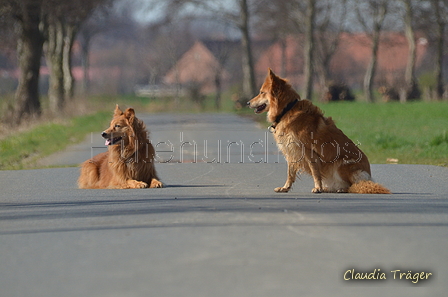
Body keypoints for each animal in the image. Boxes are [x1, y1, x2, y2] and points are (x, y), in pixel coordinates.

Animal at [247, 69, 390, 194]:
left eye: (261, 92)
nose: (247, 103)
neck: (287, 110)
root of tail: (369, 176)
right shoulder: (292, 151)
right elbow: (290, 173)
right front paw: (285, 188)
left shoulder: (308, 151)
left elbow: (315, 171)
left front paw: (317, 188)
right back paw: (331, 188)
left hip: (340, 164)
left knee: (354, 185)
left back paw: (342, 189)